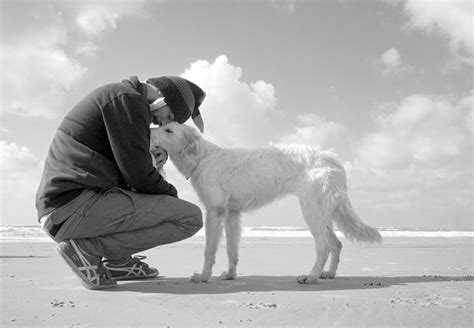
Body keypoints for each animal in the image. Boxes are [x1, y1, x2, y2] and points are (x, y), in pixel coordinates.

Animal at [151, 123, 382, 284]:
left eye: (168, 129)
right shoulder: (232, 214)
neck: (203, 157)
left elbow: (209, 250)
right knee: (337, 243)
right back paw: (329, 274)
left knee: (324, 247)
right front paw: (230, 274)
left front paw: (203, 276)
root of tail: (334, 160)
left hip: (311, 211)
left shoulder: (214, 212)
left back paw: (310, 277)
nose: (149, 131)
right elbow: (232, 250)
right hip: (321, 213)